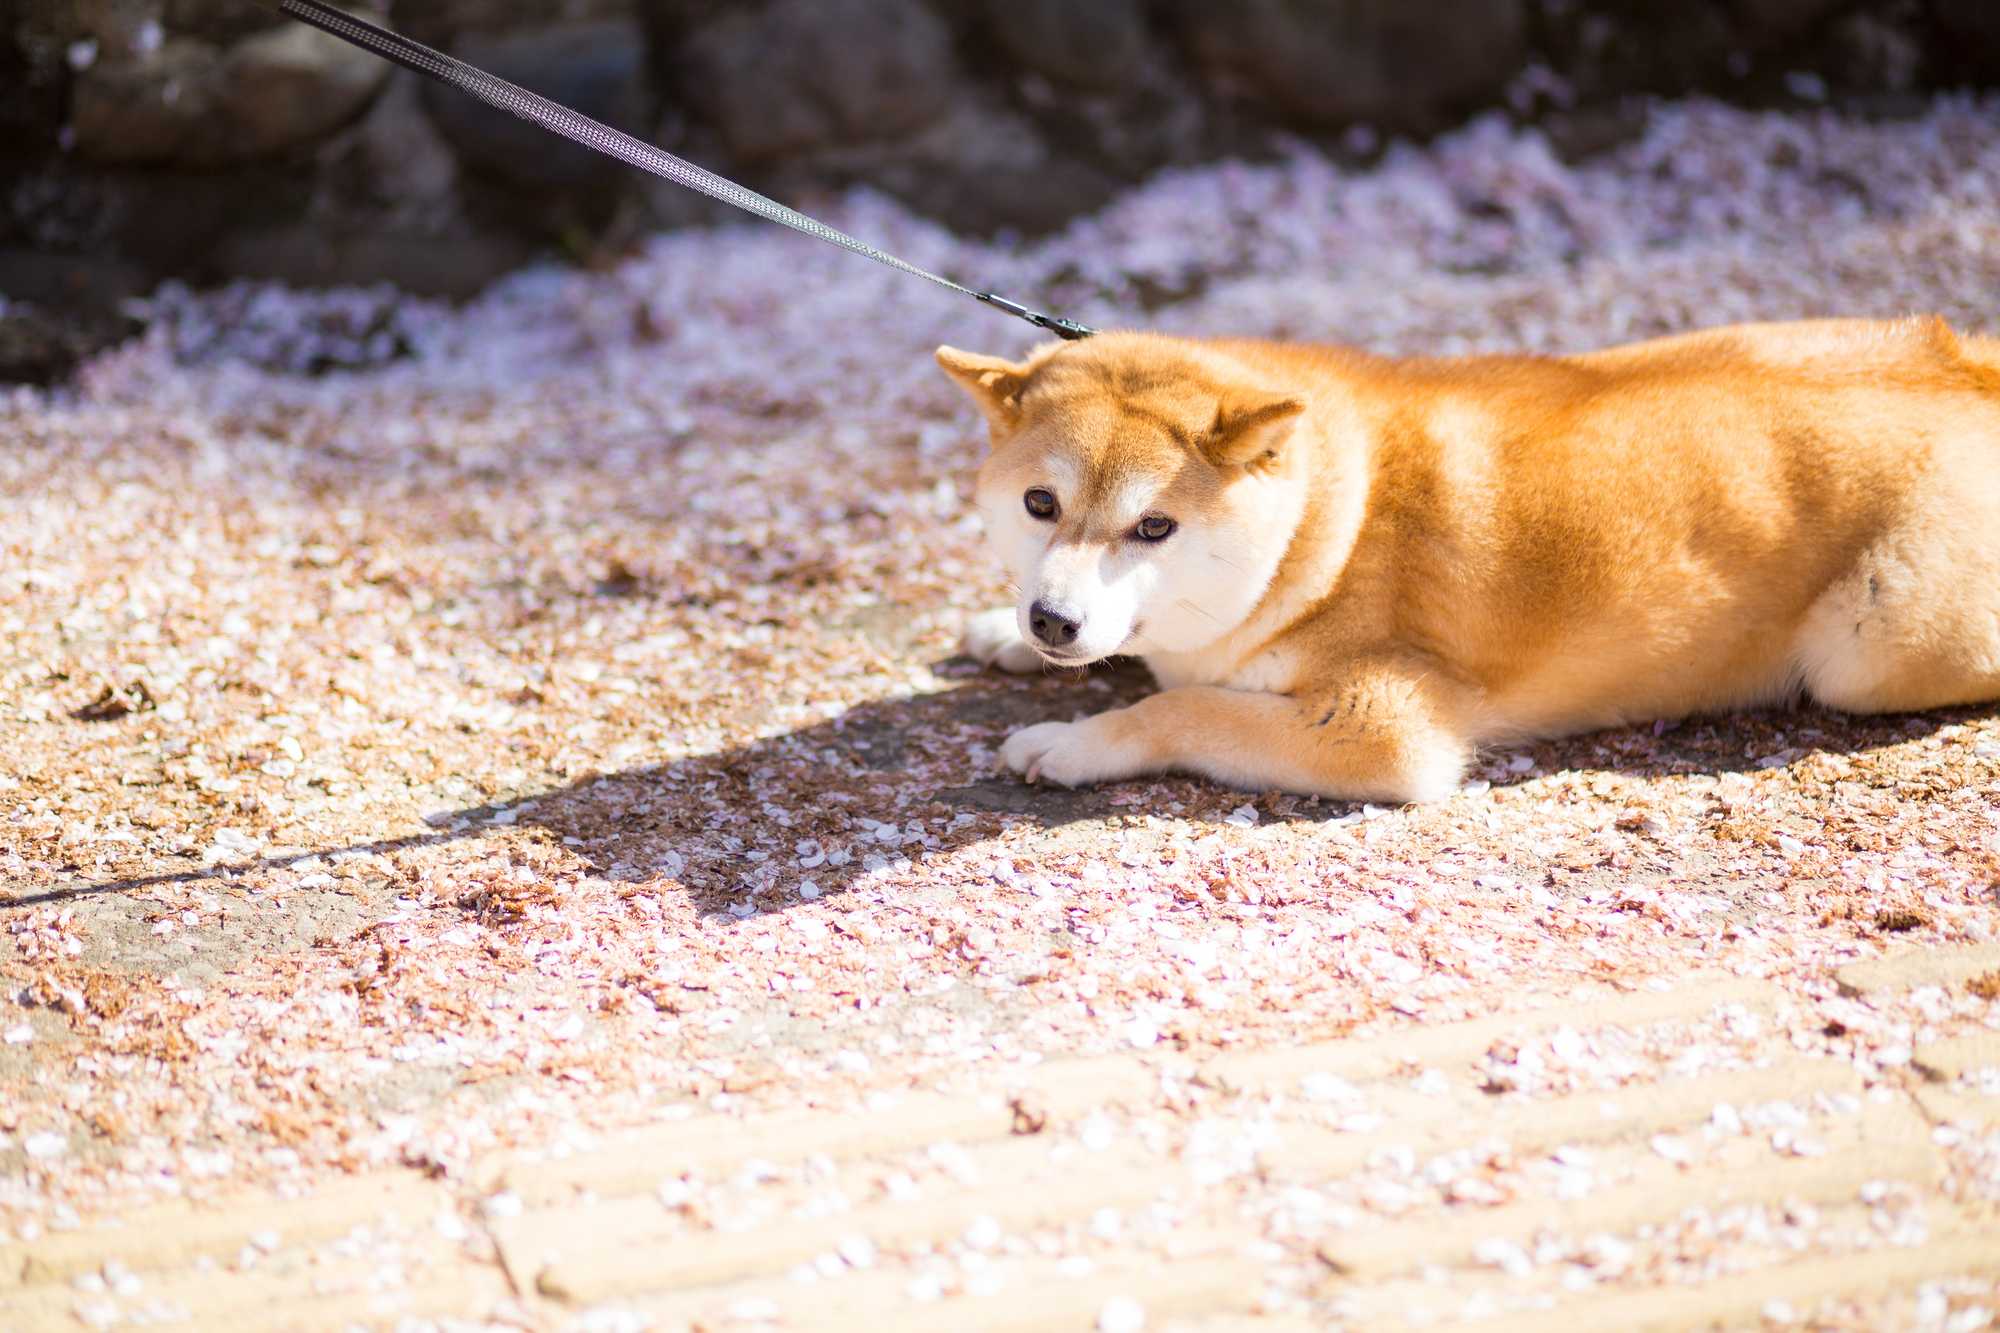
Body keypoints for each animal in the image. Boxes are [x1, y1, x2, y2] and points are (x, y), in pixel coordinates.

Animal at [944, 322, 2000, 800]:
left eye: (1153, 527)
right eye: (1040, 505)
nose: (1053, 620)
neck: (1330, 521)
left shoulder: (1387, 728)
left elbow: (1182, 704)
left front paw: (1072, 741)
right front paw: (1006, 632)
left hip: (1870, 644)